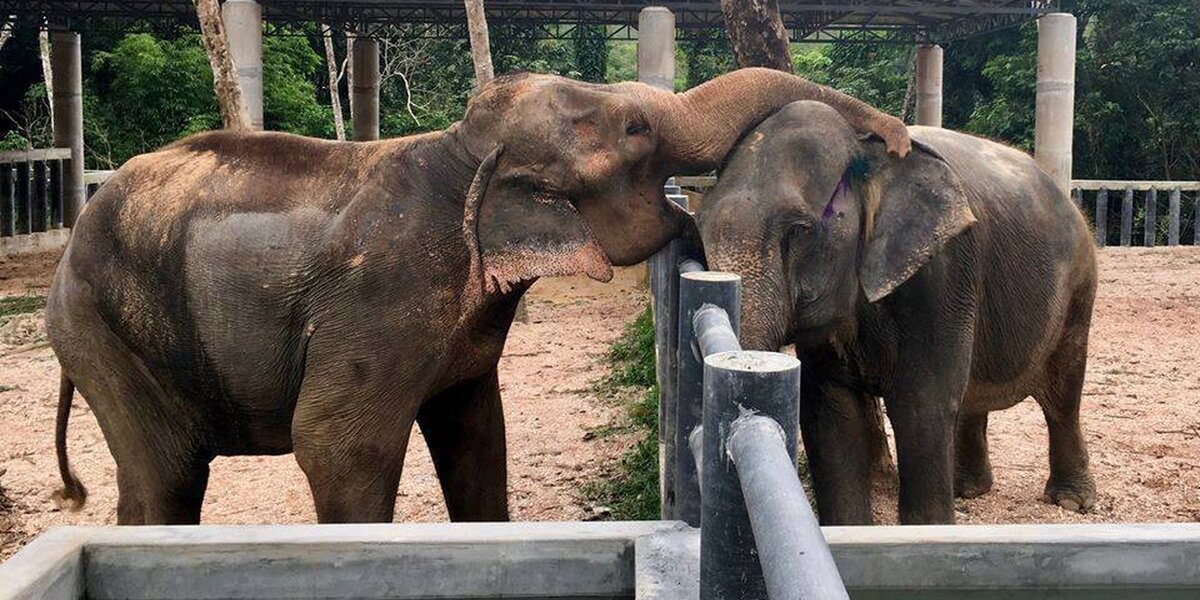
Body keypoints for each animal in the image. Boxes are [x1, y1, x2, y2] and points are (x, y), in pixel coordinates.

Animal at [46, 68, 907, 523]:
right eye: (635, 129)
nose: (894, 140)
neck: (459, 153)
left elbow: (476, 432)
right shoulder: (381, 295)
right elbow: (336, 443)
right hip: (106, 330)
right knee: (165, 475)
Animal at [696, 102, 1099, 525]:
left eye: (800, 230)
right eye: (699, 224)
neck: (866, 148)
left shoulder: (943, 272)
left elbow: (921, 407)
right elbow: (831, 413)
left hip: (1078, 288)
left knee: (1063, 392)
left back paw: (1071, 501)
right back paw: (968, 490)